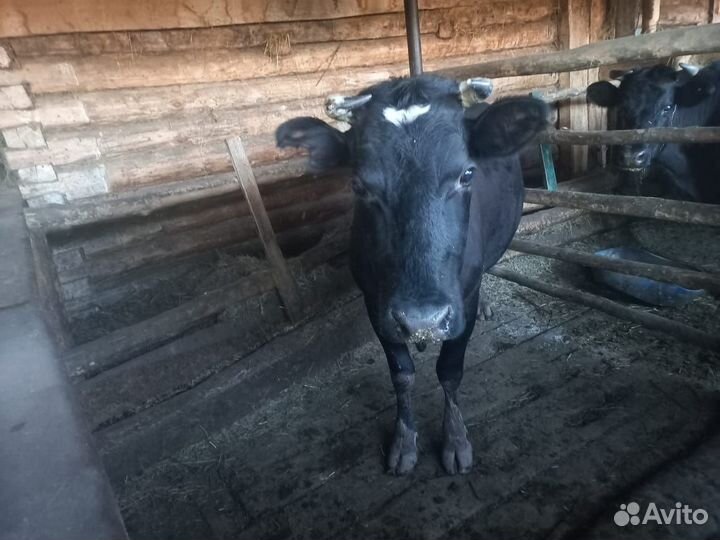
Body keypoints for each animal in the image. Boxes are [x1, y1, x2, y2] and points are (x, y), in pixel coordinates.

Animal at [276, 75, 547, 475]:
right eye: (358, 185)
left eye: (467, 173)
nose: (423, 320)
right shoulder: (375, 302)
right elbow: (402, 374)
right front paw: (404, 442)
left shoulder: (463, 299)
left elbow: (450, 370)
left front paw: (455, 440)